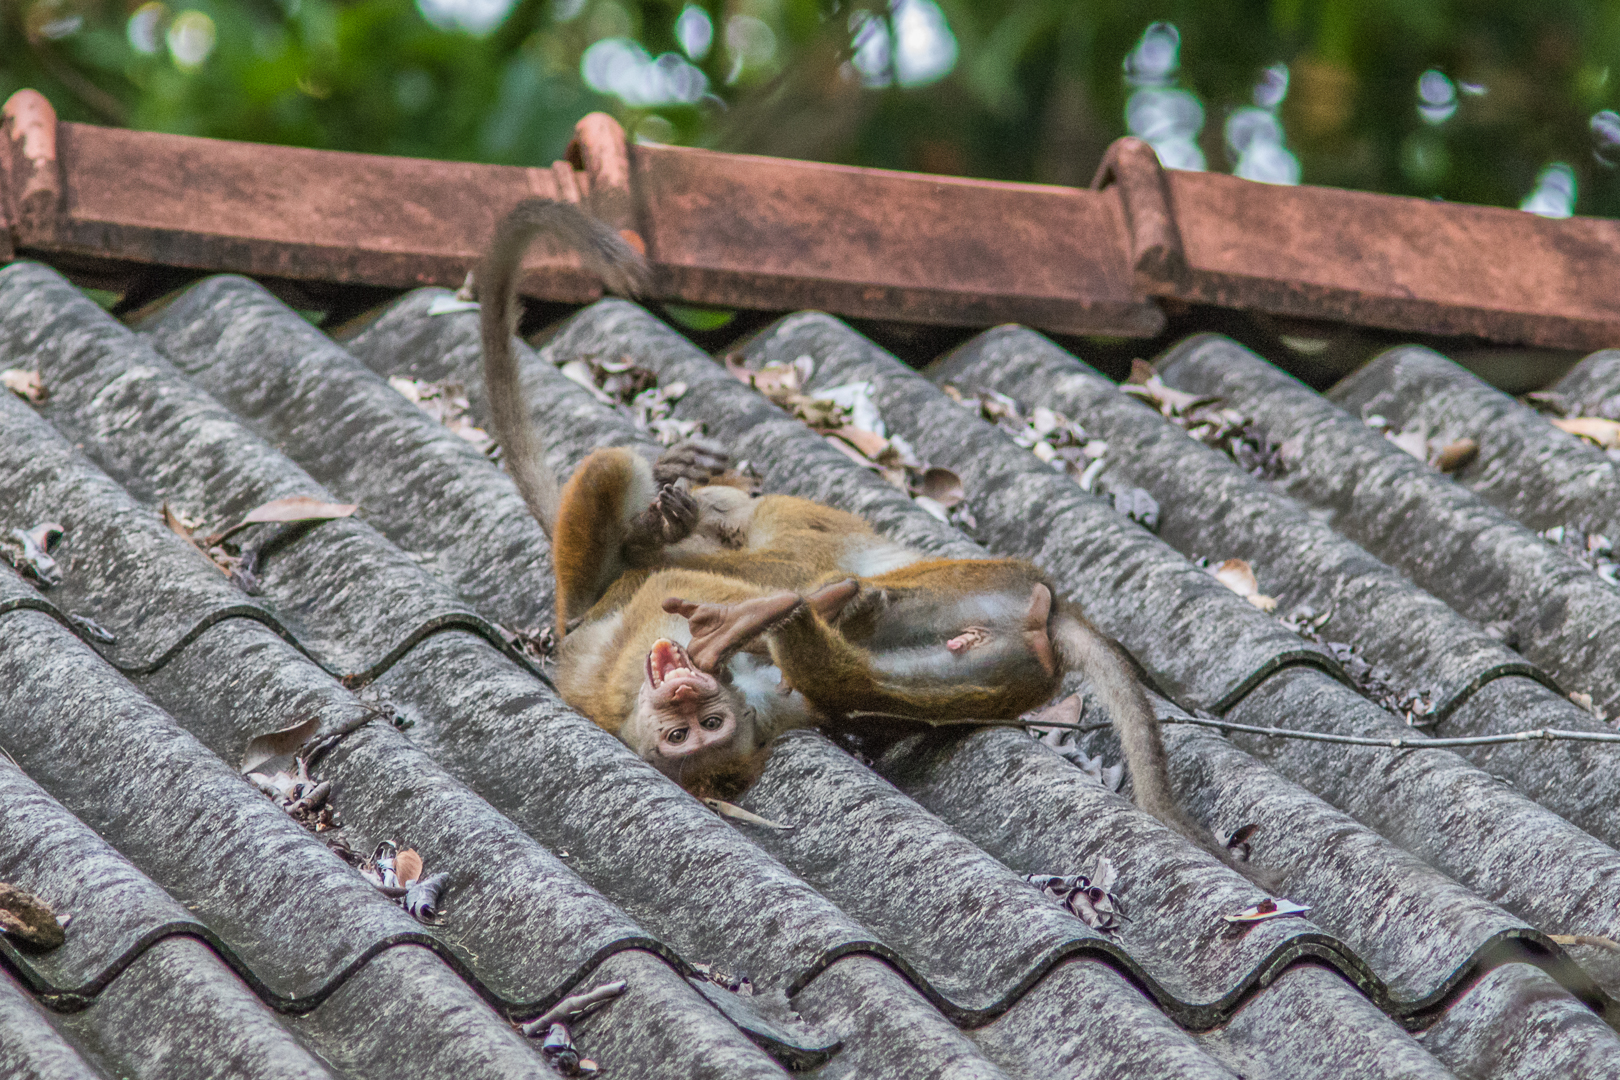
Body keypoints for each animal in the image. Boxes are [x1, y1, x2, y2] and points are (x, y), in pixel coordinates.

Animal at [477, 197, 1254, 874]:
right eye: (680, 736)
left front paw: (686, 529)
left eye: (702, 727)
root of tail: (1044, 607)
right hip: (989, 627)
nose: (687, 696)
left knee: (661, 503)